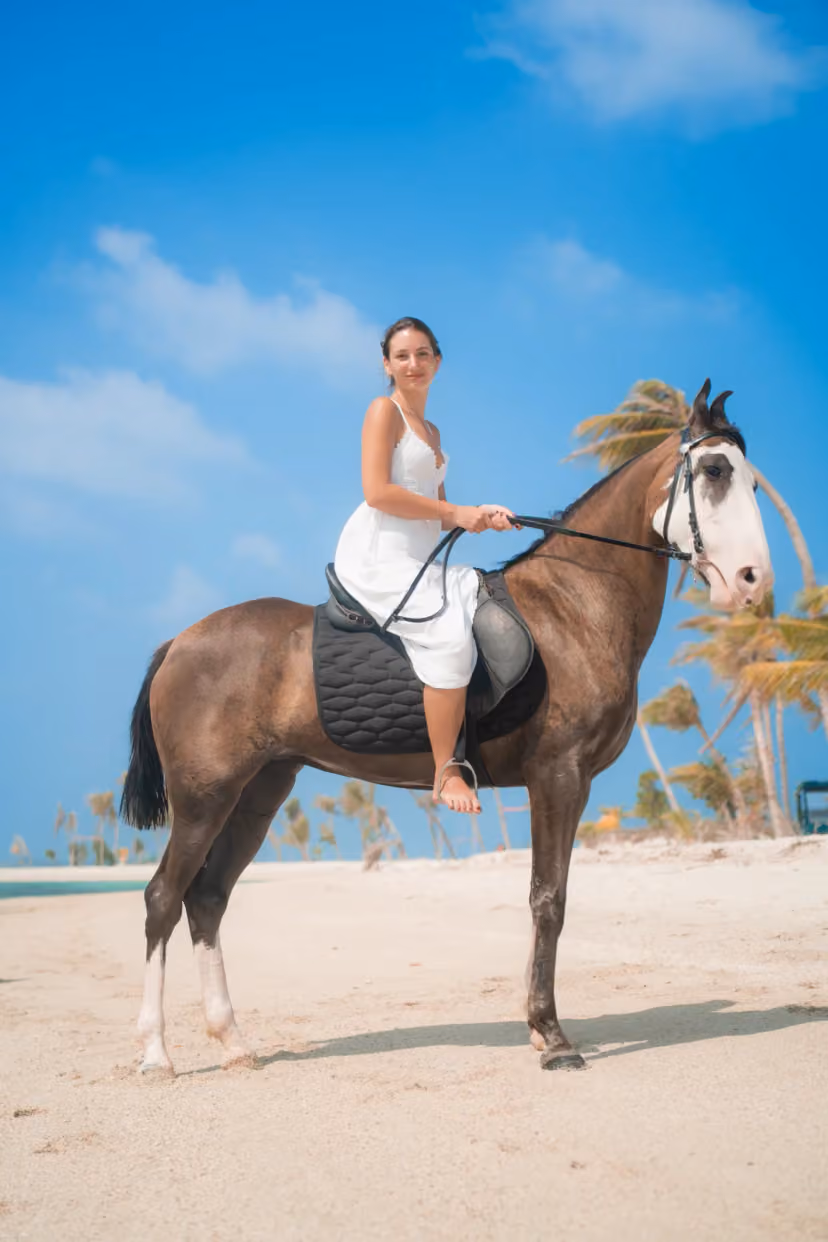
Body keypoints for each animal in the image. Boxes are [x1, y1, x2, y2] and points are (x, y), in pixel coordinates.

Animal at [121, 380, 772, 1075]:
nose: (754, 581)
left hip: (259, 793)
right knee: (163, 898)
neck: (574, 606)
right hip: (204, 797)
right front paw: (552, 1037)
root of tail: (180, 641)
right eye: (714, 471)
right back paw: (156, 1053)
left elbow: (552, 895)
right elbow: (548, 898)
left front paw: (537, 1027)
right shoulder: (558, 775)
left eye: (749, 479)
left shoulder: (573, 785)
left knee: (208, 898)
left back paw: (233, 1041)